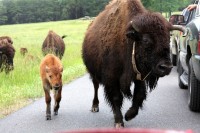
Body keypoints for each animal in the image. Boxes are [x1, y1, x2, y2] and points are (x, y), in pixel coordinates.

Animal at [82, 0, 185, 128]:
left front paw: (129, 115)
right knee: (95, 86)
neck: (129, 41)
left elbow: (139, 95)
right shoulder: (112, 78)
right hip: (93, 73)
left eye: (168, 38)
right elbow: (116, 97)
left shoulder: (139, 76)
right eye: (145, 40)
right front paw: (119, 121)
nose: (166, 67)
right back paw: (95, 106)